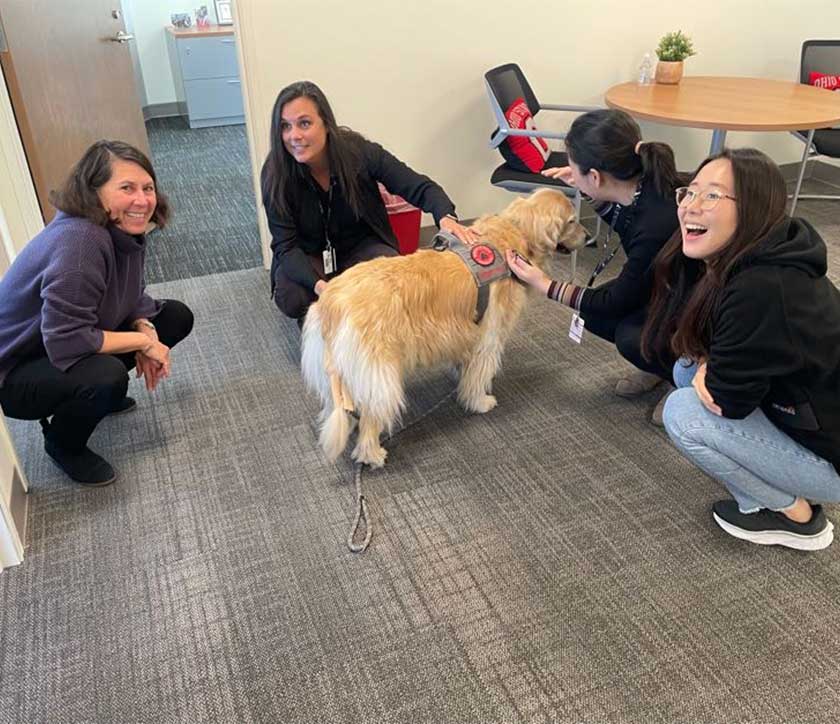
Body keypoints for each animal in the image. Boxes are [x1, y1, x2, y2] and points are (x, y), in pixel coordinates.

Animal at [300, 189, 584, 466]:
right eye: (572, 221)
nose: (589, 238)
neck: (515, 231)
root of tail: (331, 301)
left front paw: (460, 377)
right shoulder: (489, 336)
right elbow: (479, 374)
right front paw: (479, 401)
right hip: (380, 374)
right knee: (372, 415)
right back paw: (372, 454)